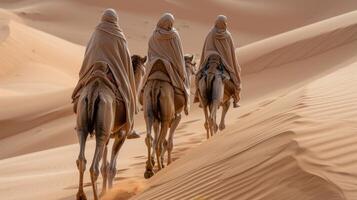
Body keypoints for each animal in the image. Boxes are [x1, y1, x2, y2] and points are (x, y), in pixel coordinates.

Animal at [75, 54, 146, 200]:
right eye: (144, 71)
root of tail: (93, 93)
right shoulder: (121, 133)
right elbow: (112, 168)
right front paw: (110, 192)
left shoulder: (108, 136)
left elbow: (105, 167)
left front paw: (104, 192)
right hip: (104, 126)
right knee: (94, 167)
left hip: (85, 125)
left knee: (82, 159)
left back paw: (81, 195)